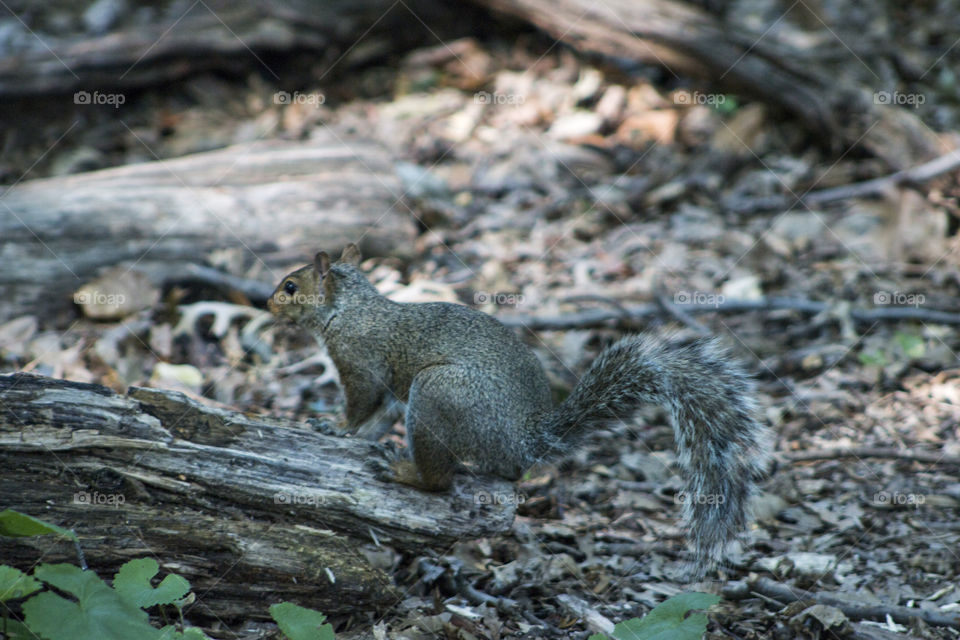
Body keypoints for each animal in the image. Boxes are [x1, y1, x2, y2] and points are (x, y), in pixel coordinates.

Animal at [268, 244, 771, 574]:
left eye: (291, 286)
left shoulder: (360, 363)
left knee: (440, 481)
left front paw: (335, 427)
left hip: (438, 392)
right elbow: (376, 418)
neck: (350, 308)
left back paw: (404, 471)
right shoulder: (391, 391)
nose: (267, 303)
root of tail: (526, 442)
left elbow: (360, 405)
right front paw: (345, 432)